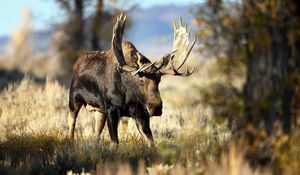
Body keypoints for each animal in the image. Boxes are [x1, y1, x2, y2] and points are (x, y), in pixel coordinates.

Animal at [68, 13, 197, 146]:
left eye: (159, 80)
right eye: (141, 81)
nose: (155, 107)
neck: (128, 92)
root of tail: (76, 63)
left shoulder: (141, 114)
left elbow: (150, 141)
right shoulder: (111, 109)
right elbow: (115, 142)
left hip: (99, 110)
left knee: (96, 134)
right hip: (74, 99)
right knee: (71, 124)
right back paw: (70, 142)